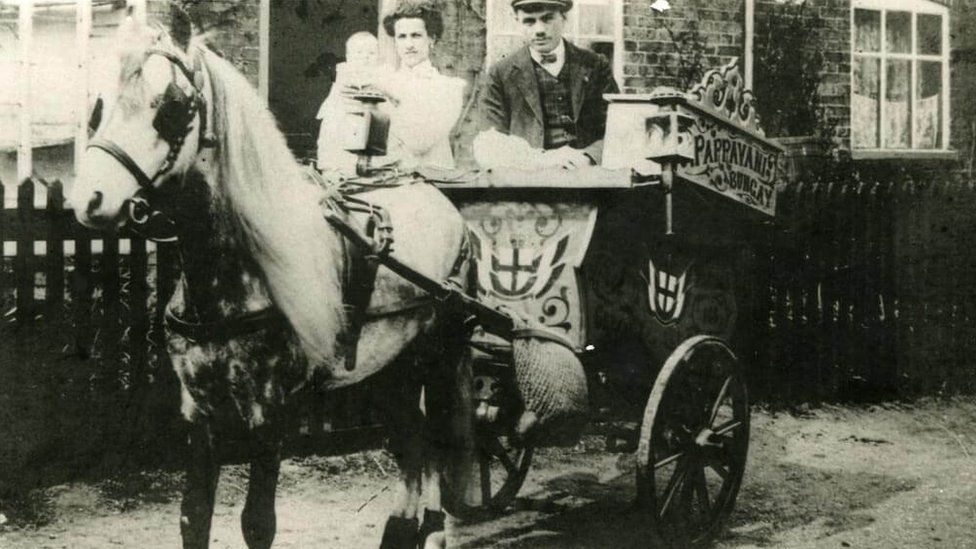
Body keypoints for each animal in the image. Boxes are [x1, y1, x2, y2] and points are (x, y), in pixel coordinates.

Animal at [70, 12, 474, 548]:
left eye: (174, 108)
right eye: (99, 105)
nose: (90, 200)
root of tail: (445, 207)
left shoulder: (270, 415)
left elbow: (257, 523)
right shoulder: (200, 411)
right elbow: (193, 516)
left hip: (437, 359)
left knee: (438, 442)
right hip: (389, 370)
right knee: (412, 440)